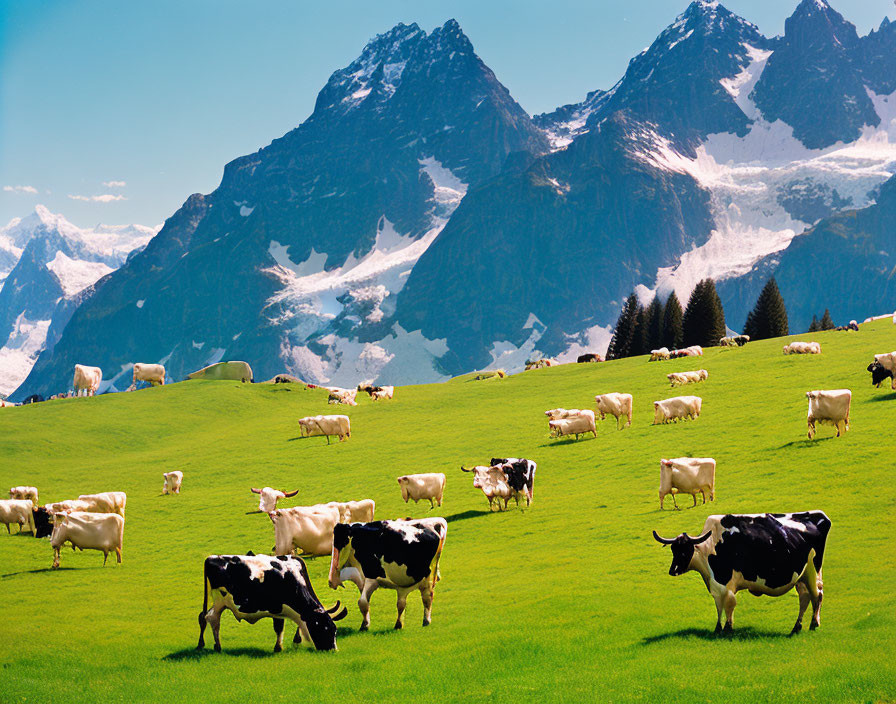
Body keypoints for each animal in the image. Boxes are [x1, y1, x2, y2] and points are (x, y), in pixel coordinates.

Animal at [196, 552, 346, 652]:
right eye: (325, 628)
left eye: (335, 630)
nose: (333, 650)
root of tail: (212, 557)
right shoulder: (277, 607)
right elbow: (279, 627)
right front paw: (278, 647)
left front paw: (295, 641)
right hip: (220, 600)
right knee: (212, 618)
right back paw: (217, 646)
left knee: (204, 617)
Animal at [652, 508, 832, 636]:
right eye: (673, 550)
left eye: (685, 550)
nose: (673, 570)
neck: (710, 548)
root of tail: (816, 515)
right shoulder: (716, 586)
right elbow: (719, 606)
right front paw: (718, 628)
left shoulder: (726, 584)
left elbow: (729, 604)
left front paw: (727, 628)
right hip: (801, 576)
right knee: (805, 597)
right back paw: (797, 627)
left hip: (812, 571)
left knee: (817, 595)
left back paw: (813, 624)